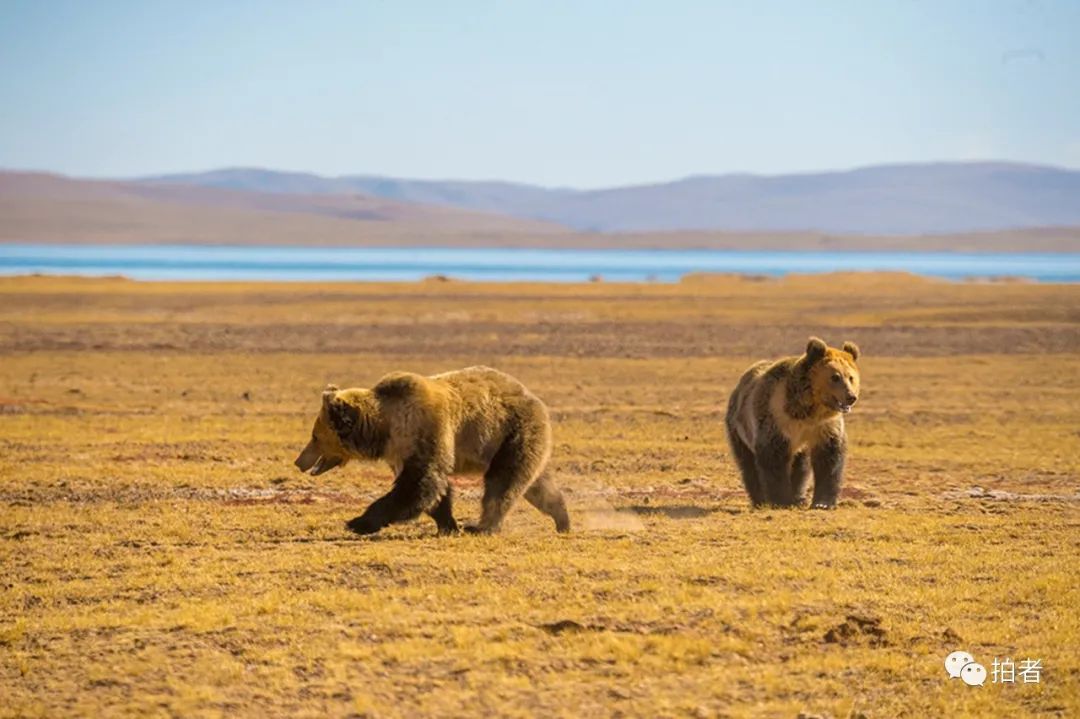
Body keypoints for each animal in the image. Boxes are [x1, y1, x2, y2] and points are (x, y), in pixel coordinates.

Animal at [291, 367, 570, 535]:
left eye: (315, 437)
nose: (298, 461)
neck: (385, 428)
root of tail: (535, 398)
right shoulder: (400, 451)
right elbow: (434, 490)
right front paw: (448, 525)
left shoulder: (425, 428)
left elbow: (420, 484)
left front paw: (358, 522)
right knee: (537, 485)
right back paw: (562, 519)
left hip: (510, 432)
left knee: (503, 482)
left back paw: (483, 526)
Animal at [725, 338, 859, 507]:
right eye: (835, 377)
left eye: (851, 377)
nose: (851, 397)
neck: (806, 411)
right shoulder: (776, 419)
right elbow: (773, 457)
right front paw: (781, 499)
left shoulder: (824, 427)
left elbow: (829, 458)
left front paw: (822, 503)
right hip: (739, 429)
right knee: (748, 465)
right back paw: (760, 499)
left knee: (800, 466)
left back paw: (798, 497)